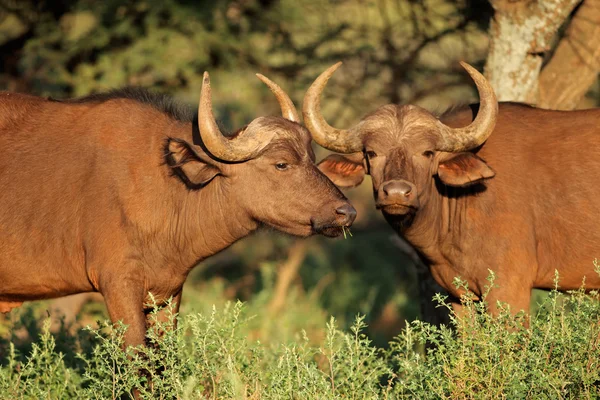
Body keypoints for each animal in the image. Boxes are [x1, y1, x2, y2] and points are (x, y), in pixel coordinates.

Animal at [0, 72, 356, 346]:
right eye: (282, 163)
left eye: (312, 158)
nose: (347, 213)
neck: (167, 184)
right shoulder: (118, 286)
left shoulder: (167, 294)